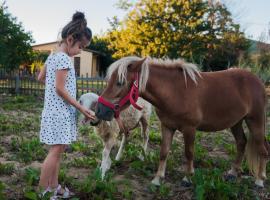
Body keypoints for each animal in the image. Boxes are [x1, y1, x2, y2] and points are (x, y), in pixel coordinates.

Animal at [96, 55, 268, 188]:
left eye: (119, 82)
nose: (99, 111)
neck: (175, 92)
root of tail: (258, 81)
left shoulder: (189, 129)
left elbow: (189, 152)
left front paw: (187, 177)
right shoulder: (167, 126)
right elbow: (164, 152)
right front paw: (157, 179)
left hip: (255, 121)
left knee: (263, 149)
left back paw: (260, 180)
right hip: (236, 122)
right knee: (241, 143)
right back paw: (233, 173)